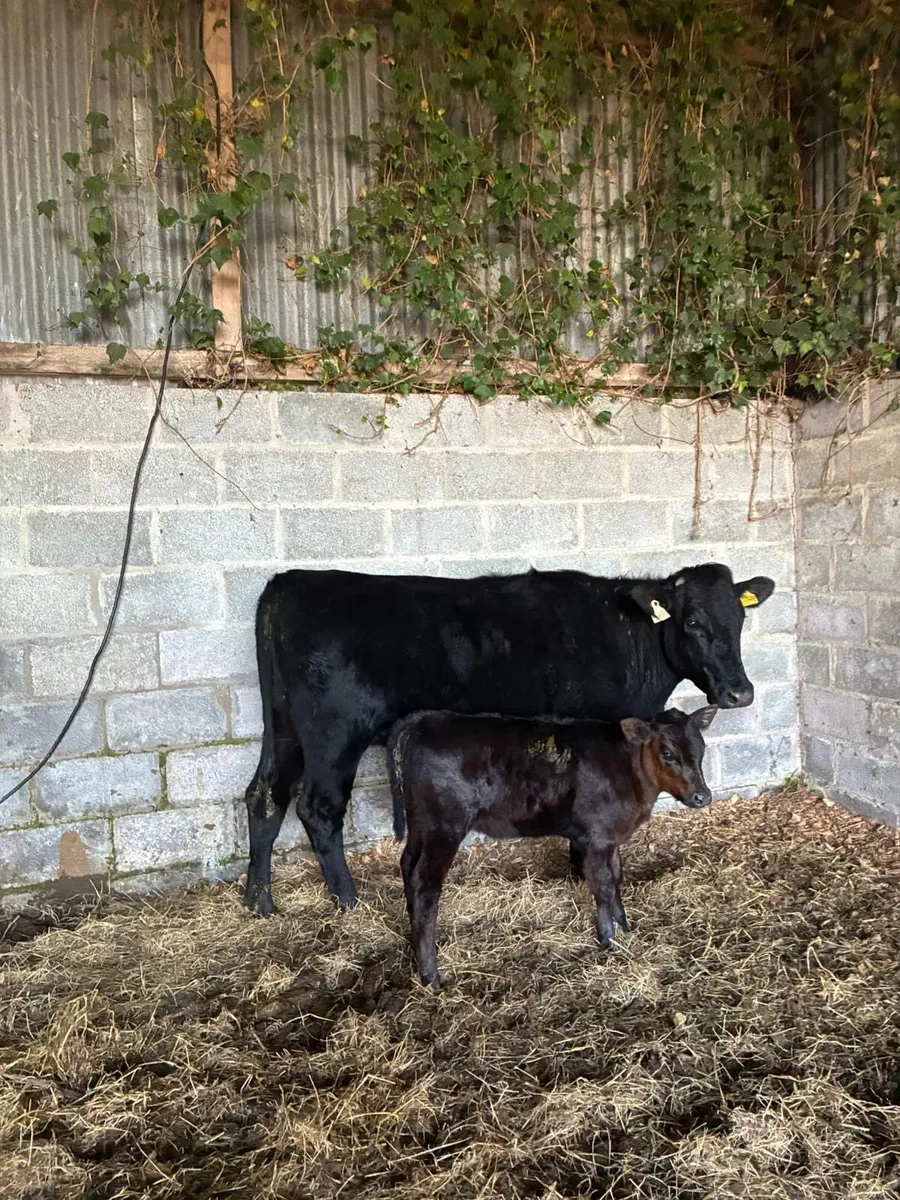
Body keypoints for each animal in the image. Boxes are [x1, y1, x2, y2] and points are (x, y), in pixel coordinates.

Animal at [242, 563, 773, 915]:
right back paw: (348, 900)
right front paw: (583, 867)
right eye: (692, 621)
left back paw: (259, 901)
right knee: (318, 807)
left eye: (740, 619)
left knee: (264, 796)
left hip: (284, 727)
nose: (740, 692)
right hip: (333, 733)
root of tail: (288, 583)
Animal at [388, 705, 718, 986]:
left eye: (701, 748)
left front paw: (625, 928)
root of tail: (425, 720)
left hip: (421, 825)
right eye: (667, 753)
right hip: (444, 827)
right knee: (425, 887)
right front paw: (608, 941)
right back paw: (431, 975)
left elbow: (617, 878)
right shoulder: (596, 837)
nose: (702, 796)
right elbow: (603, 886)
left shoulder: (611, 838)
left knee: (408, 866)